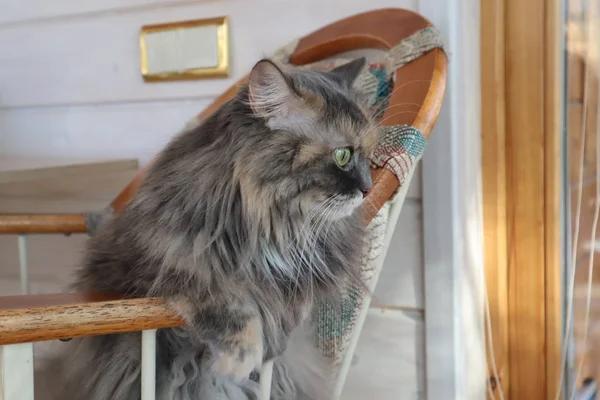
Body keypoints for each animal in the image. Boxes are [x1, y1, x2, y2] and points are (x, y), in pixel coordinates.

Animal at [47, 57, 378, 400]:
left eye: (369, 155)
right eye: (342, 155)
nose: (368, 188)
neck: (274, 226)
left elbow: (293, 301)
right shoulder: (153, 266)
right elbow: (222, 295)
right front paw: (240, 357)